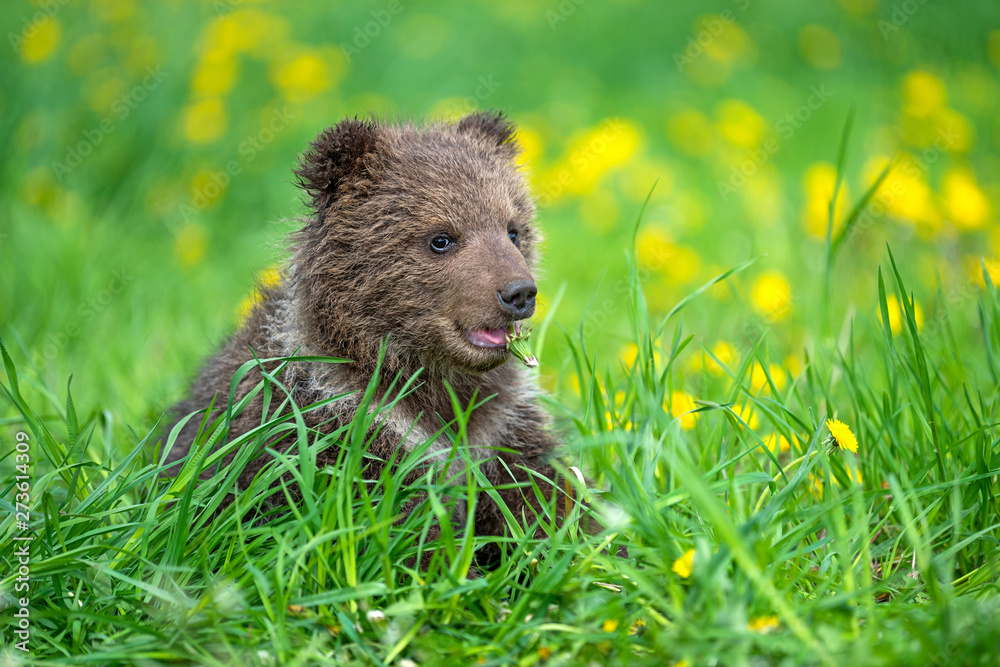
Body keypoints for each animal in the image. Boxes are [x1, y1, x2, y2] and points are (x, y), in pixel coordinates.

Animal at [163, 111, 565, 558]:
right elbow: (395, 531)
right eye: (441, 238)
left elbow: (546, 494)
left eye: (513, 230)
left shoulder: (499, 427)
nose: (519, 292)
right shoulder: (337, 431)